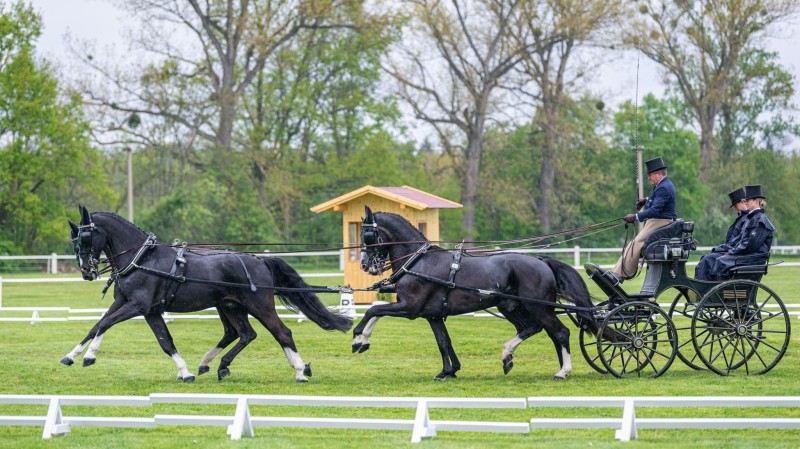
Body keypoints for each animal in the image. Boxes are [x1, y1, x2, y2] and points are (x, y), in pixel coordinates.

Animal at [62, 205, 350, 380]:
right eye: (74, 240)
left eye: (86, 238)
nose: (86, 271)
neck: (141, 258)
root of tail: (259, 259)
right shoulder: (145, 309)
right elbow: (159, 340)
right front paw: (70, 356)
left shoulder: (138, 306)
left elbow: (105, 325)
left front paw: (89, 357)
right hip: (231, 306)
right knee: (244, 334)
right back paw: (218, 365)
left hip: (259, 306)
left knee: (282, 333)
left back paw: (300, 371)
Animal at [356, 206, 600, 378]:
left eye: (368, 235)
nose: (365, 265)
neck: (418, 262)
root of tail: (541, 260)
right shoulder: (432, 315)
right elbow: (443, 342)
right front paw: (448, 371)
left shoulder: (410, 308)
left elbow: (373, 311)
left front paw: (359, 339)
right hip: (511, 307)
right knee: (534, 328)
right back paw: (508, 355)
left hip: (538, 307)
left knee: (560, 332)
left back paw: (562, 371)